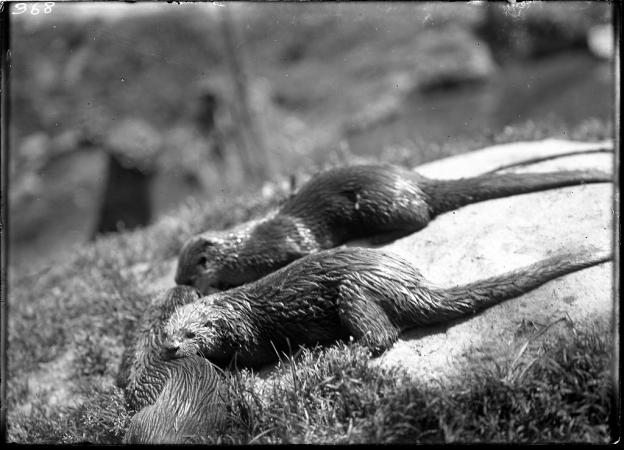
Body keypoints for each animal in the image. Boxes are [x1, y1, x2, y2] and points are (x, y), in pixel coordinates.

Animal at [163, 246, 612, 370]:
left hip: (355, 292)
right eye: (165, 334)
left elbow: (251, 356)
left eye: (190, 334)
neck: (232, 306)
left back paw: (339, 352)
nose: (171, 348)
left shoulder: (248, 330)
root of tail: (409, 284)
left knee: (384, 334)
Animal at [174, 163, 608, 294]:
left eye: (190, 268)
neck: (247, 247)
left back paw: (376, 237)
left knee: (419, 217)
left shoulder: (287, 242)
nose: (178, 283)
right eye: (177, 271)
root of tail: (413, 179)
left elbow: (306, 253)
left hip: (380, 202)